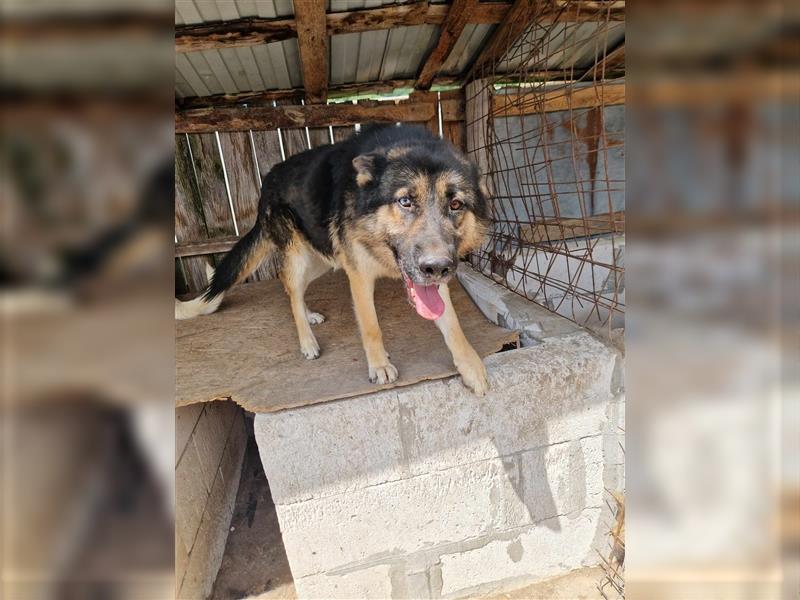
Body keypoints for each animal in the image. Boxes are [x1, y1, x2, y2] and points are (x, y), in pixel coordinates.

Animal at [177, 124, 490, 396]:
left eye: (456, 204)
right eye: (405, 201)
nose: (437, 268)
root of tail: (267, 179)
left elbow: (453, 324)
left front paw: (471, 366)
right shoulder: (359, 276)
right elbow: (371, 326)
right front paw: (379, 365)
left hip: (322, 257)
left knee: (293, 289)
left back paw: (308, 315)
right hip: (300, 257)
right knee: (290, 288)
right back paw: (307, 340)